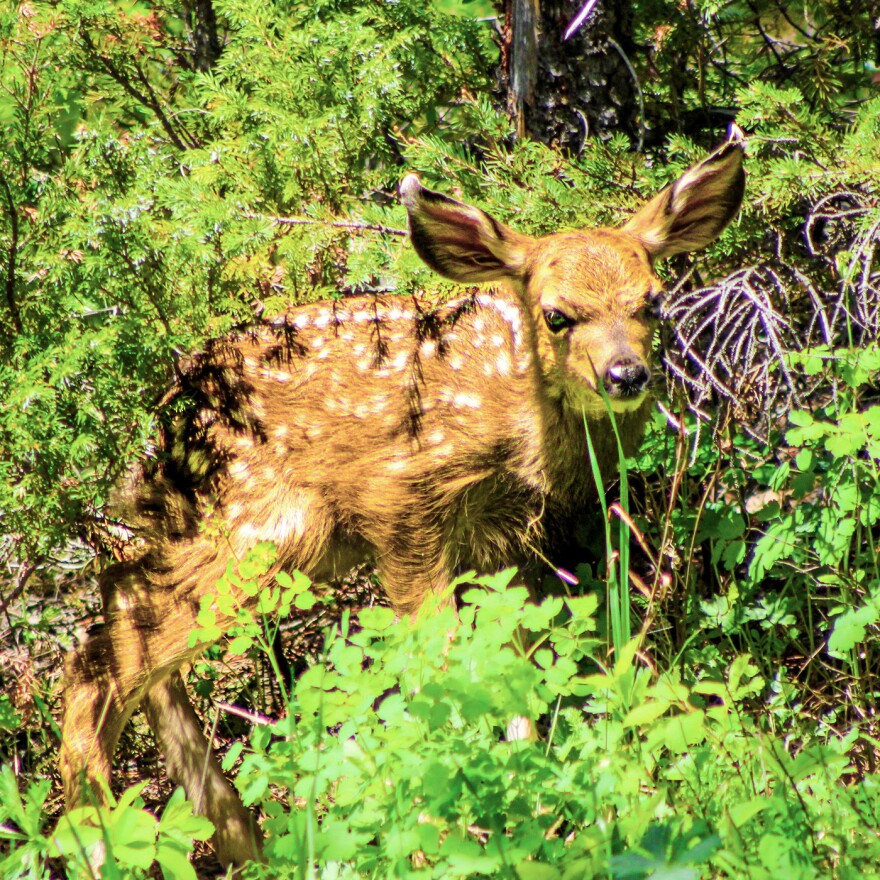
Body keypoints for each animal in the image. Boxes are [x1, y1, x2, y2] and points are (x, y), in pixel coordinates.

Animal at [59, 128, 745, 869]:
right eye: (557, 315)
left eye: (653, 301)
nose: (626, 373)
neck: (520, 425)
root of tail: (163, 432)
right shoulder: (402, 499)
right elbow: (438, 660)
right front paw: (449, 830)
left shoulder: (508, 539)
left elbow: (507, 661)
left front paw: (530, 804)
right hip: (263, 523)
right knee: (110, 634)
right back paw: (97, 842)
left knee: (122, 599)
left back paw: (236, 836)